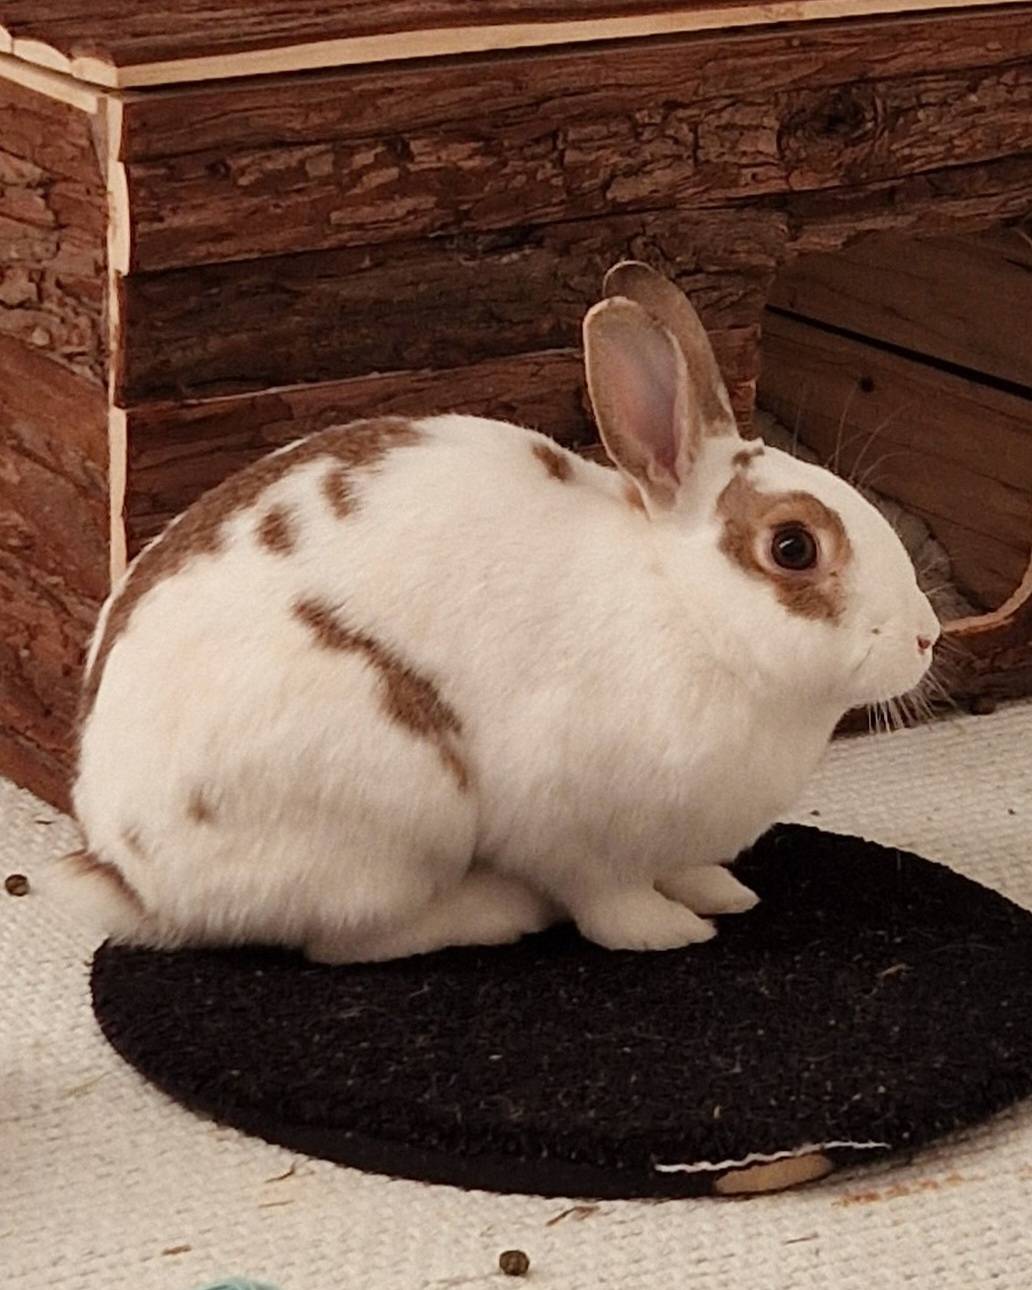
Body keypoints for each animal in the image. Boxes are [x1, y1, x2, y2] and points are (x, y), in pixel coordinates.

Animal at [57, 261, 940, 962]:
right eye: (793, 548)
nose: (927, 636)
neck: (687, 611)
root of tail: (127, 870)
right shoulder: (573, 830)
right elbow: (607, 899)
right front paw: (668, 931)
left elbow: (682, 868)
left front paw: (720, 891)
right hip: (397, 804)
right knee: (348, 940)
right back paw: (497, 910)